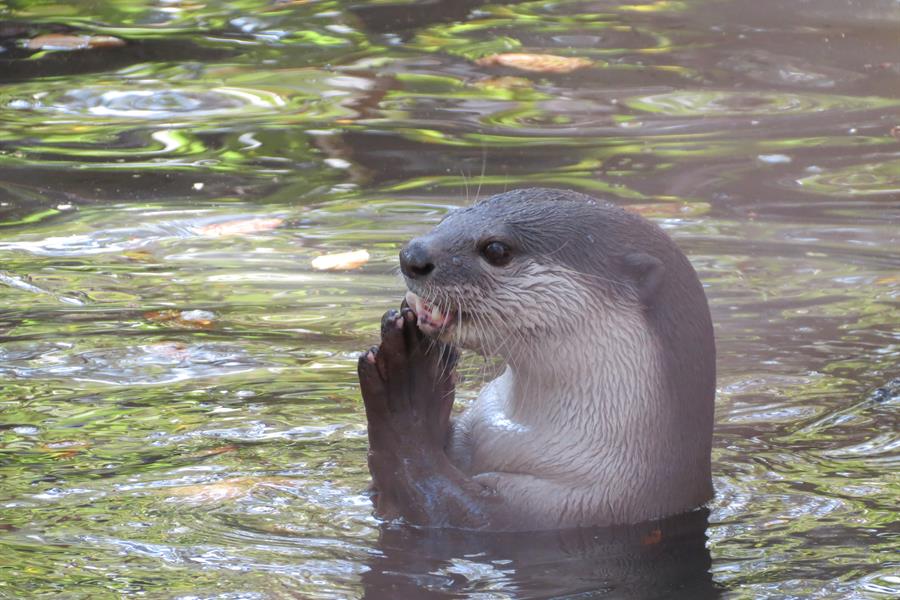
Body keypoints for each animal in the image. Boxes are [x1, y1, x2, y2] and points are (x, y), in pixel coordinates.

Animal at [358, 188, 715, 530]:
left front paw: (409, 386)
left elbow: (425, 491)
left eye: (496, 250)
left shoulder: (557, 509)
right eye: (450, 217)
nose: (412, 256)